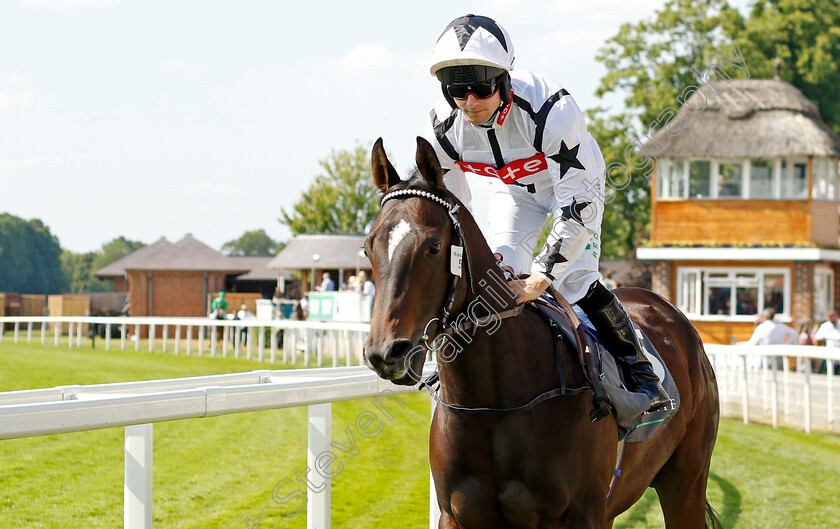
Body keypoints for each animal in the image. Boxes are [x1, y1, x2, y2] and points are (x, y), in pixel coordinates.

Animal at [362, 137, 720, 528]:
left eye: (433, 246)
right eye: (368, 247)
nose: (386, 353)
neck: (493, 402)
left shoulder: (584, 514)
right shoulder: (456, 516)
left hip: (685, 482)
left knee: (582, 277)